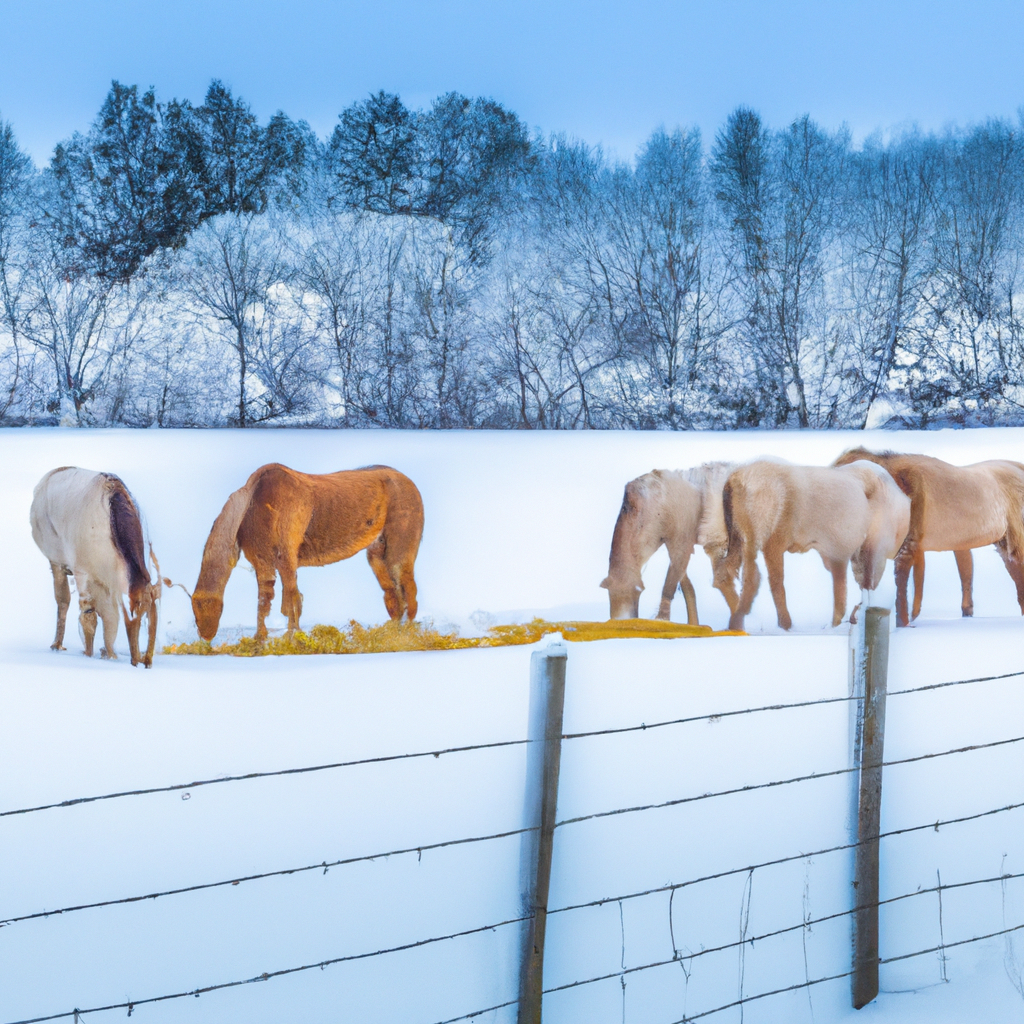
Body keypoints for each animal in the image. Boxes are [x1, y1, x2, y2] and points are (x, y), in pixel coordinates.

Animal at [29, 468, 159, 667]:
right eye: (133, 613)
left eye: (148, 615)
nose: (140, 662)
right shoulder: (82, 573)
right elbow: (88, 616)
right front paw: (89, 655)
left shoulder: (110, 583)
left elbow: (111, 619)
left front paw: (110, 655)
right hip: (57, 561)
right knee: (64, 600)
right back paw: (57, 644)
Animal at [192, 464, 423, 638]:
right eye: (194, 611)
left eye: (203, 607)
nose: (205, 635)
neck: (251, 507)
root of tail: (410, 482)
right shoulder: (263, 563)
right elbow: (264, 602)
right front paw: (260, 639)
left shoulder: (286, 557)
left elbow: (291, 600)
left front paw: (294, 638)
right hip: (376, 554)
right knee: (393, 595)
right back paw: (393, 632)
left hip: (400, 549)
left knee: (409, 590)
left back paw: (408, 634)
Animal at [598, 466, 737, 622]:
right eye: (610, 596)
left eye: (632, 596)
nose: (619, 618)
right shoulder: (672, 540)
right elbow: (687, 587)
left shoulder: (683, 536)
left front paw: (662, 618)